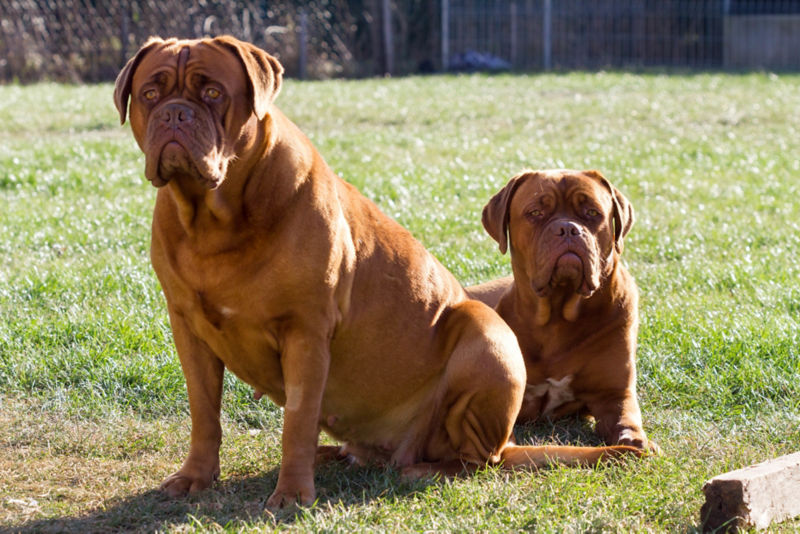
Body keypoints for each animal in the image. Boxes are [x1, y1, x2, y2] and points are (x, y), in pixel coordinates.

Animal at [112, 38, 640, 510]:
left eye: (213, 92)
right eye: (151, 93)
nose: (175, 115)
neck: (213, 221)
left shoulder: (305, 332)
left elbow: (297, 421)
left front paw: (292, 494)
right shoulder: (189, 331)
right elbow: (205, 415)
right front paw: (196, 477)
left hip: (487, 338)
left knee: (477, 458)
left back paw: (421, 468)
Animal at [466, 172, 660, 456]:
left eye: (592, 212)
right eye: (535, 212)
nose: (568, 228)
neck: (557, 317)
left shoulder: (614, 394)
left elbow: (626, 420)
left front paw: (635, 441)